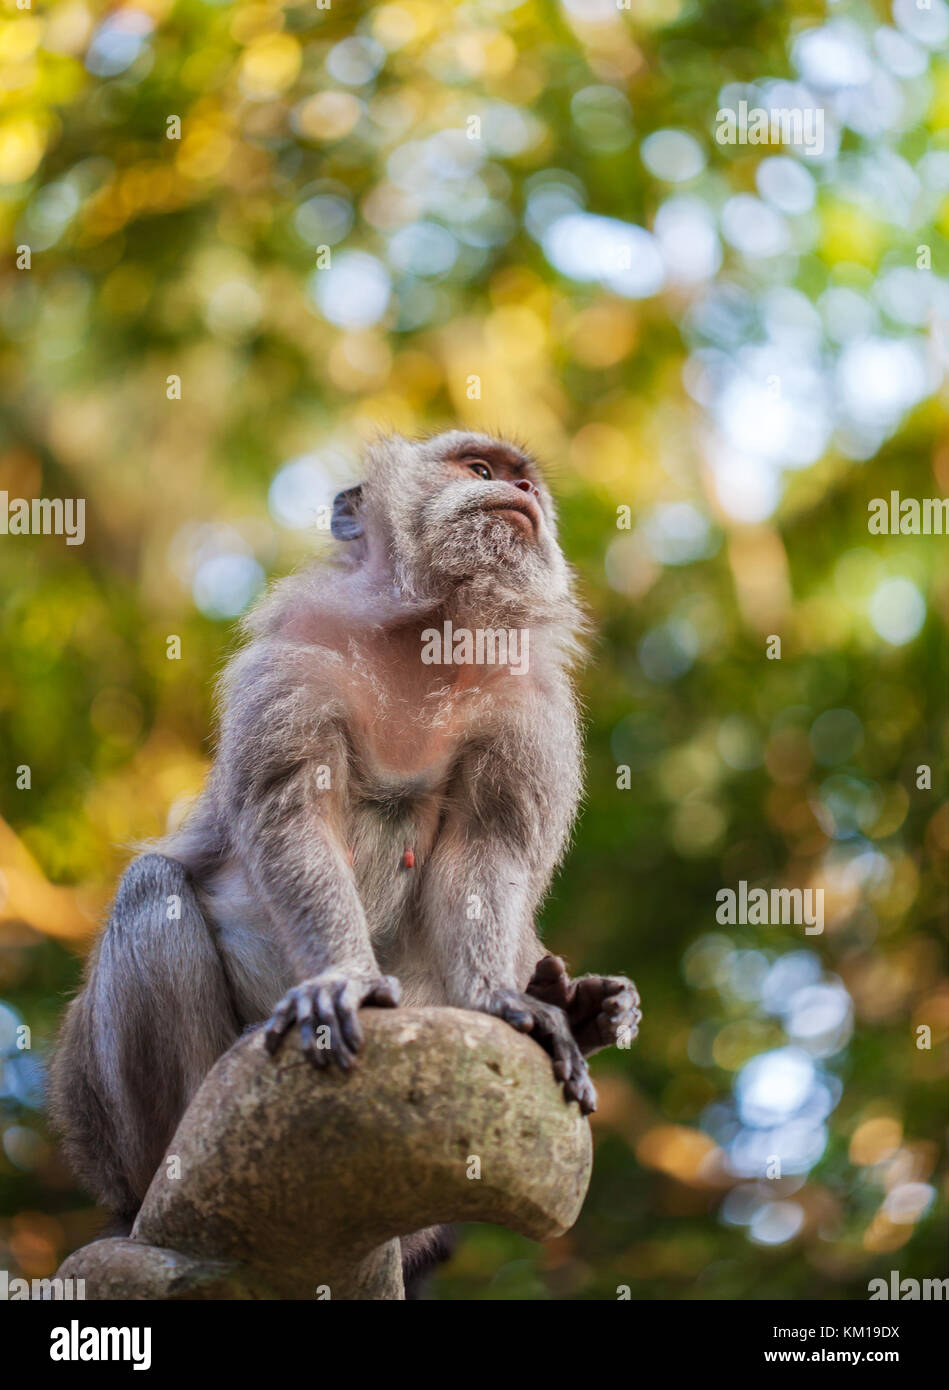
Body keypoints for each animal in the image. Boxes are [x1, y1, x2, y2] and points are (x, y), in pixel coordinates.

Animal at [52, 430, 644, 1289]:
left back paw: (579, 1010)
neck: (432, 637)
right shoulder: (300, 653)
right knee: (152, 887)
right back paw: (179, 1175)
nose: (517, 494)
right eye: (477, 469)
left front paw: (503, 997)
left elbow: (487, 852)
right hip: (103, 1124)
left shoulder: (525, 704)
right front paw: (346, 979)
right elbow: (292, 814)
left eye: (524, 481)